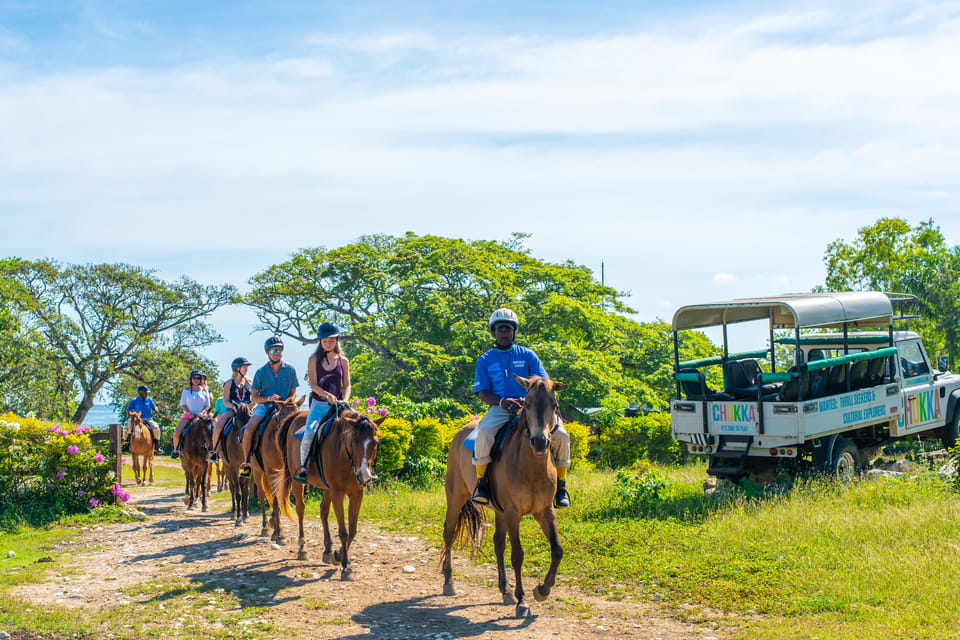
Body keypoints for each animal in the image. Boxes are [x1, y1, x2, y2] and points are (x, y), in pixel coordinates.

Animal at [270, 404, 382, 580]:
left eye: (375, 442)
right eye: (354, 441)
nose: (364, 477)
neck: (345, 456)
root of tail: (295, 416)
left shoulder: (357, 493)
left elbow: (352, 530)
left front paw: (338, 555)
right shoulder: (337, 492)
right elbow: (343, 531)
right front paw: (346, 567)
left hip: (326, 488)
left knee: (323, 511)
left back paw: (328, 550)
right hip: (297, 481)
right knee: (300, 509)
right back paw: (302, 548)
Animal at [440, 378, 568, 616]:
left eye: (553, 404)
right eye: (527, 403)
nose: (540, 442)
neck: (530, 466)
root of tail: (462, 431)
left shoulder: (544, 510)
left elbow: (557, 550)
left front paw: (542, 590)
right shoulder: (513, 513)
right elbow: (517, 555)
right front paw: (522, 601)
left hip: (499, 511)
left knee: (498, 543)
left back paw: (505, 590)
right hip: (456, 498)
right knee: (449, 534)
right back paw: (449, 582)